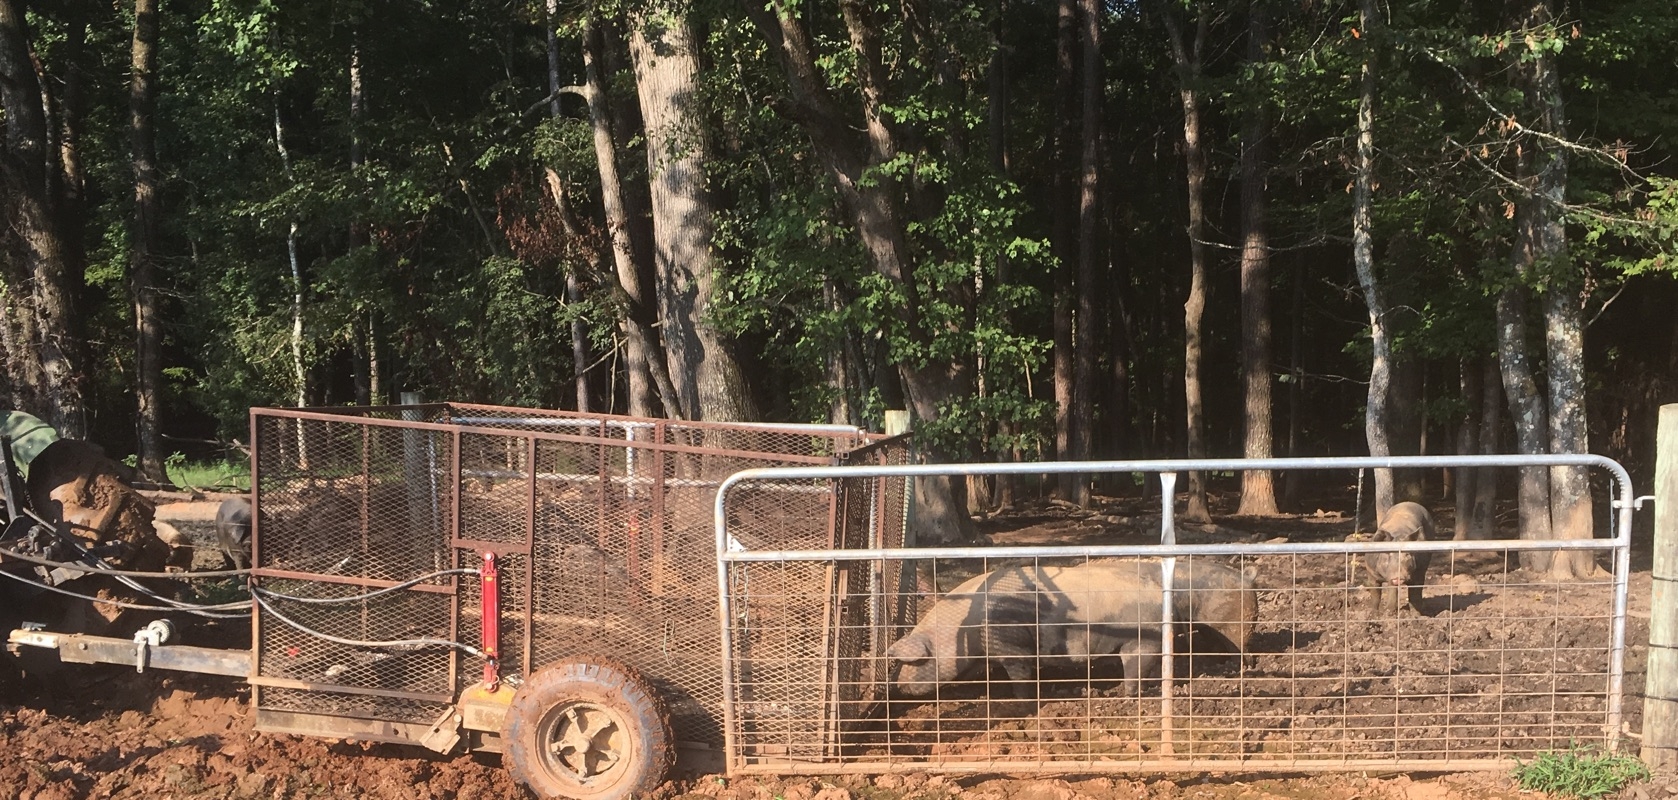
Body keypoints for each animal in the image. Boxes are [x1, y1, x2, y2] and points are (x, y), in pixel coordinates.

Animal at [892, 556, 1261, 694]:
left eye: (918, 661)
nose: (898, 688)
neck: (962, 630)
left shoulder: (1011, 646)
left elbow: (1021, 676)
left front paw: (1022, 699)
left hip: (1161, 634)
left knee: (1135, 665)